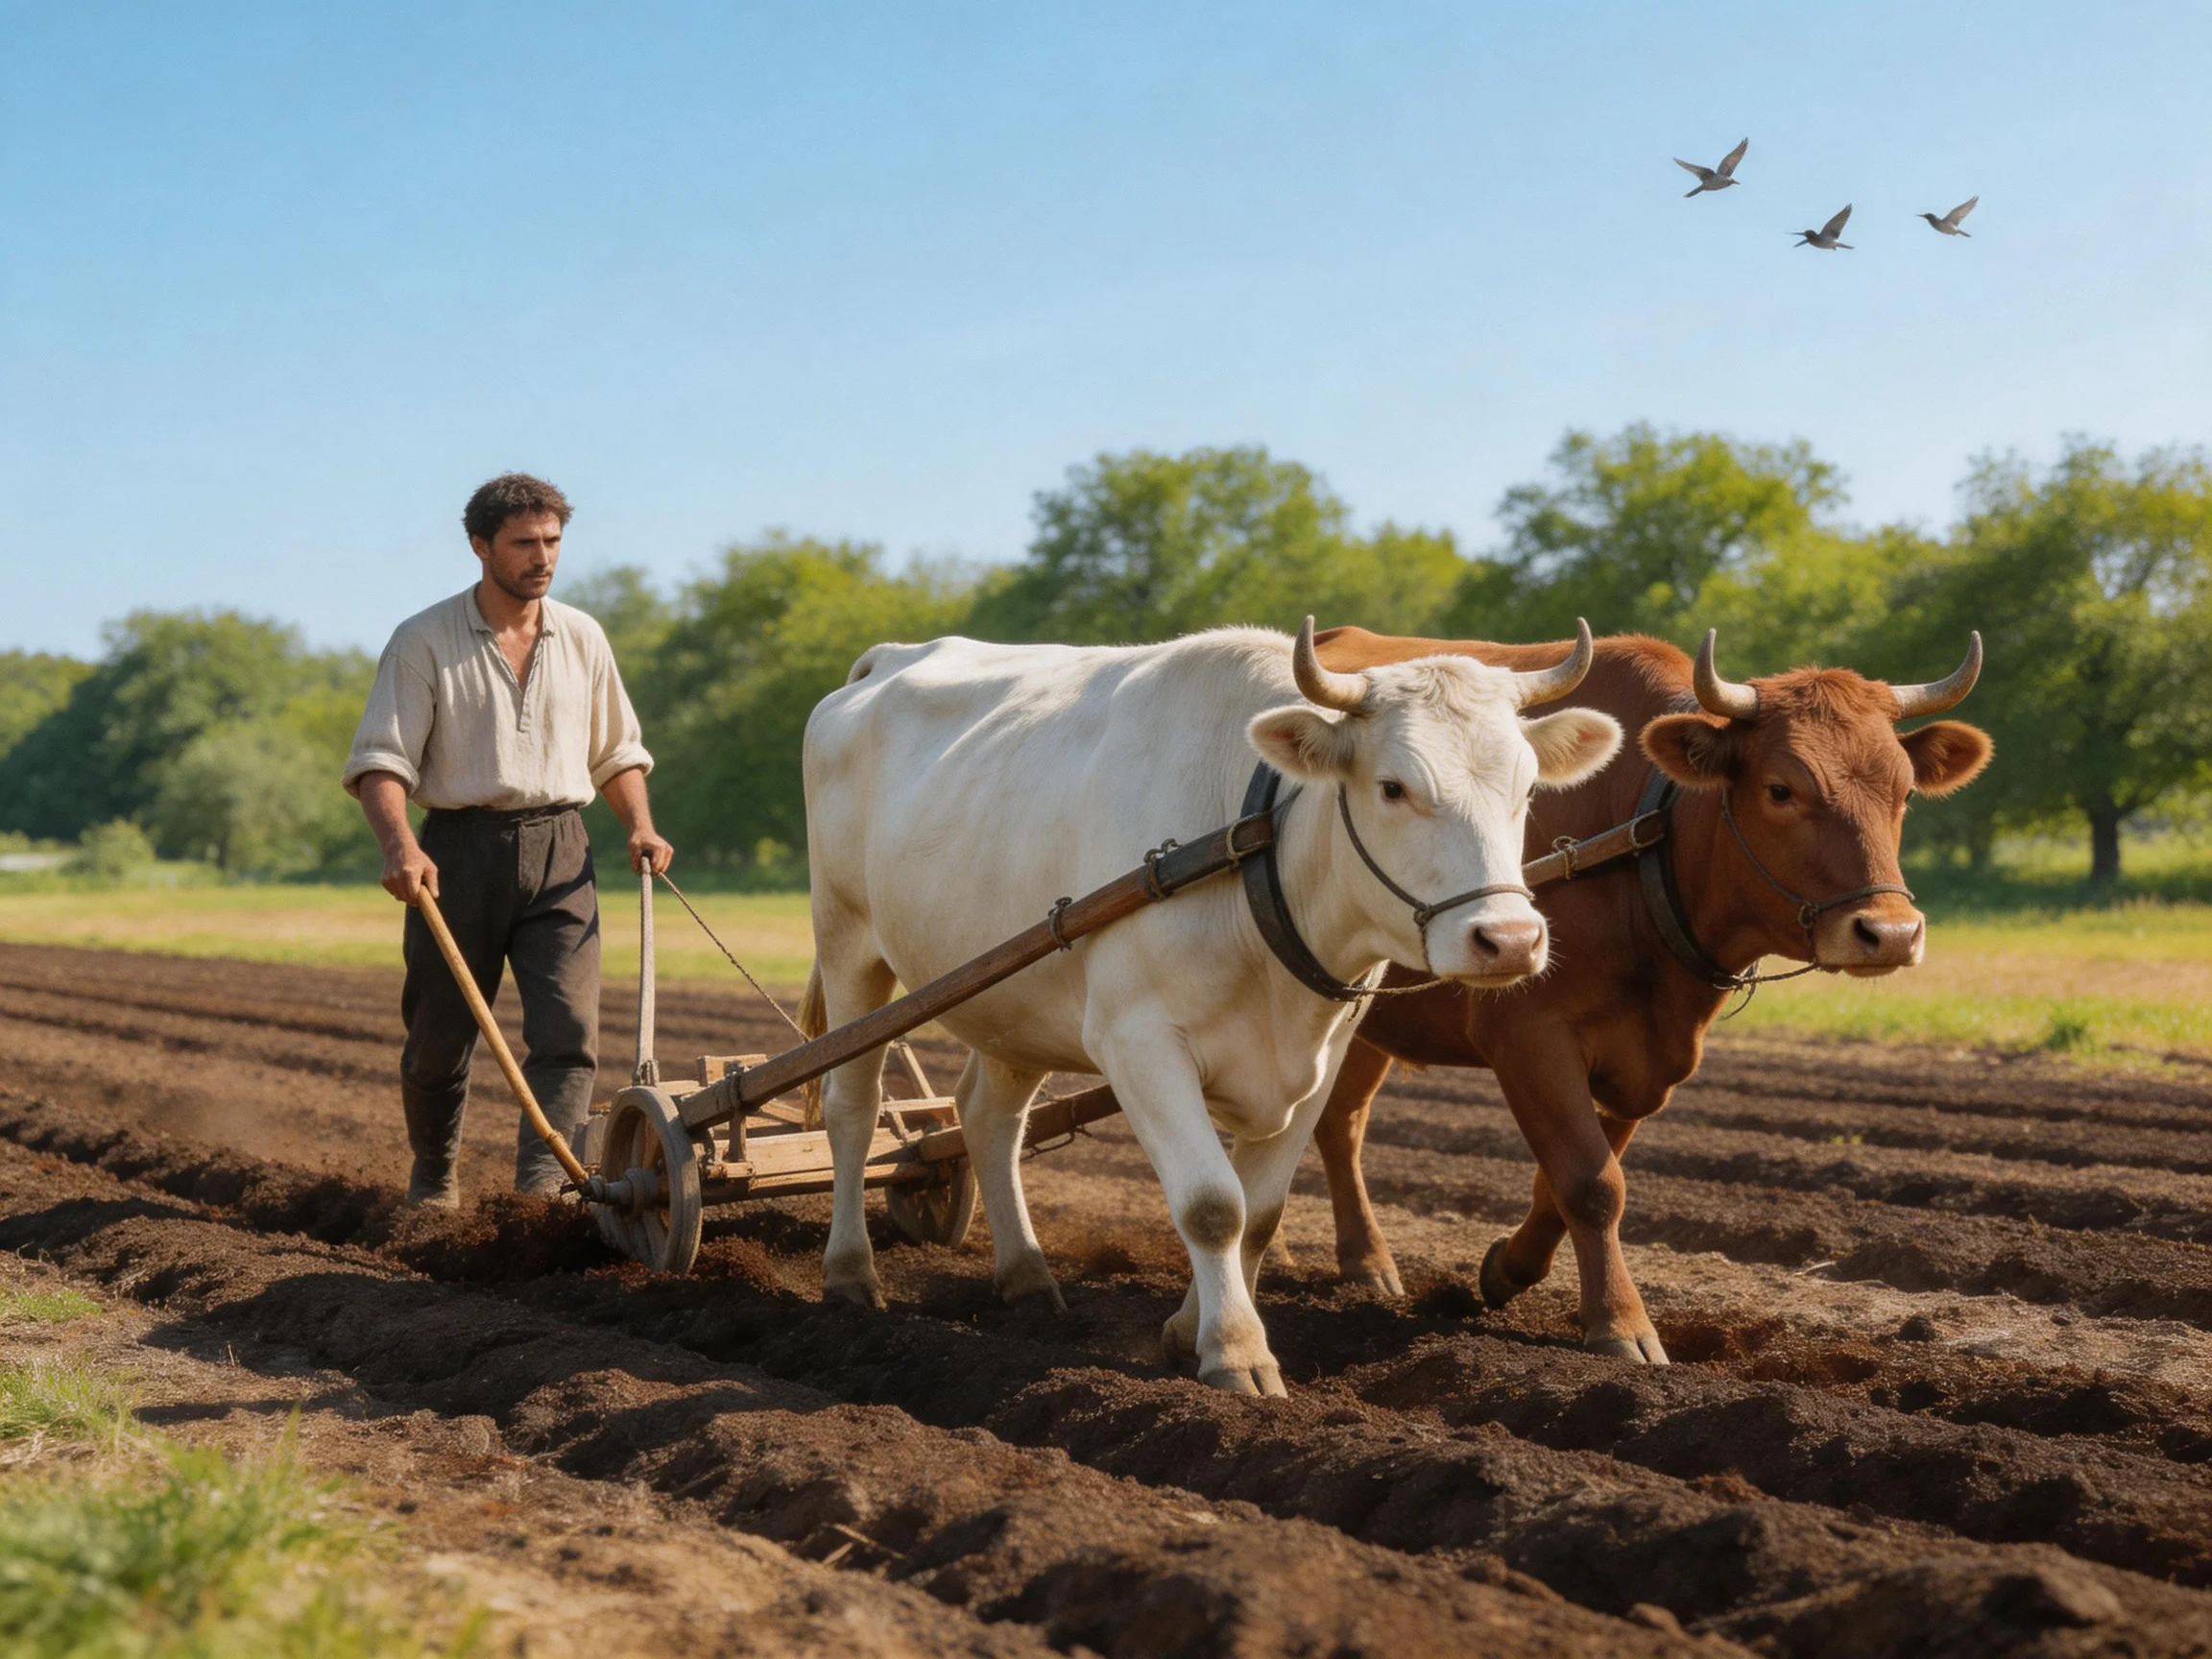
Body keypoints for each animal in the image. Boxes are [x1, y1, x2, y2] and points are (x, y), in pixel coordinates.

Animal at [800, 621, 1622, 1394]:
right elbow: (1211, 1204)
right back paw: (850, 1273)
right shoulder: (1140, 1043)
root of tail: (890, 657)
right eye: (1393, 787)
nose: (1508, 940)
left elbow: (1258, 1214)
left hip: (1009, 994)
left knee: (987, 1118)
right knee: (852, 1107)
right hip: (848, 943)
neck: (1255, 850)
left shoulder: (1323, 1056)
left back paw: (1028, 1277)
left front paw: (1188, 1330)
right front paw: (1237, 1352)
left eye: (1527, 789)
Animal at [1303, 627, 1992, 1363]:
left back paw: (1367, 1262)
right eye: (1781, 789)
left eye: (1906, 792)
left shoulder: (1645, 1060)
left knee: (1339, 1123)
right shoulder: (1527, 1036)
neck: (1643, 837)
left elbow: (1563, 1181)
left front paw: (1507, 1271)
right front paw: (1621, 1324)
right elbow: (1592, 1183)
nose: (1889, 933)